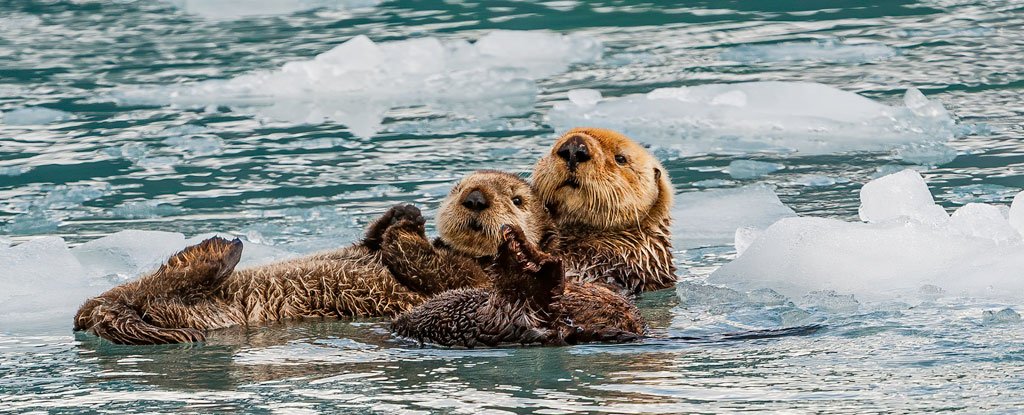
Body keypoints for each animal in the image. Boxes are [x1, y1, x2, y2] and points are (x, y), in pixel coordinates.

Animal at [73, 170, 557, 344]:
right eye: (458, 187)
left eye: (515, 199)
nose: (474, 198)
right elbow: (369, 243)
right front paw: (403, 213)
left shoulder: (473, 280)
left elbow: (437, 268)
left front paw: (405, 229)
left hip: (186, 311)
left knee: (164, 289)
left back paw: (220, 252)